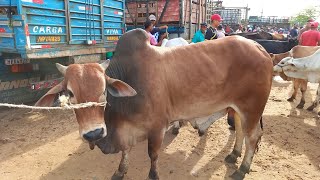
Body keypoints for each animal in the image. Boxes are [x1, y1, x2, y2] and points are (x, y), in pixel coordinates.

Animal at [35, 28, 272, 179]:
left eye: (103, 91)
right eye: (70, 93)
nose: (93, 133)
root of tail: (260, 48)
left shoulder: (157, 127)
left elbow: (153, 154)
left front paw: (153, 174)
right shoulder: (126, 129)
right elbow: (125, 152)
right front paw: (120, 171)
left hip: (252, 107)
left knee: (253, 136)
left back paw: (242, 168)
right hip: (239, 107)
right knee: (240, 129)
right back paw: (233, 155)